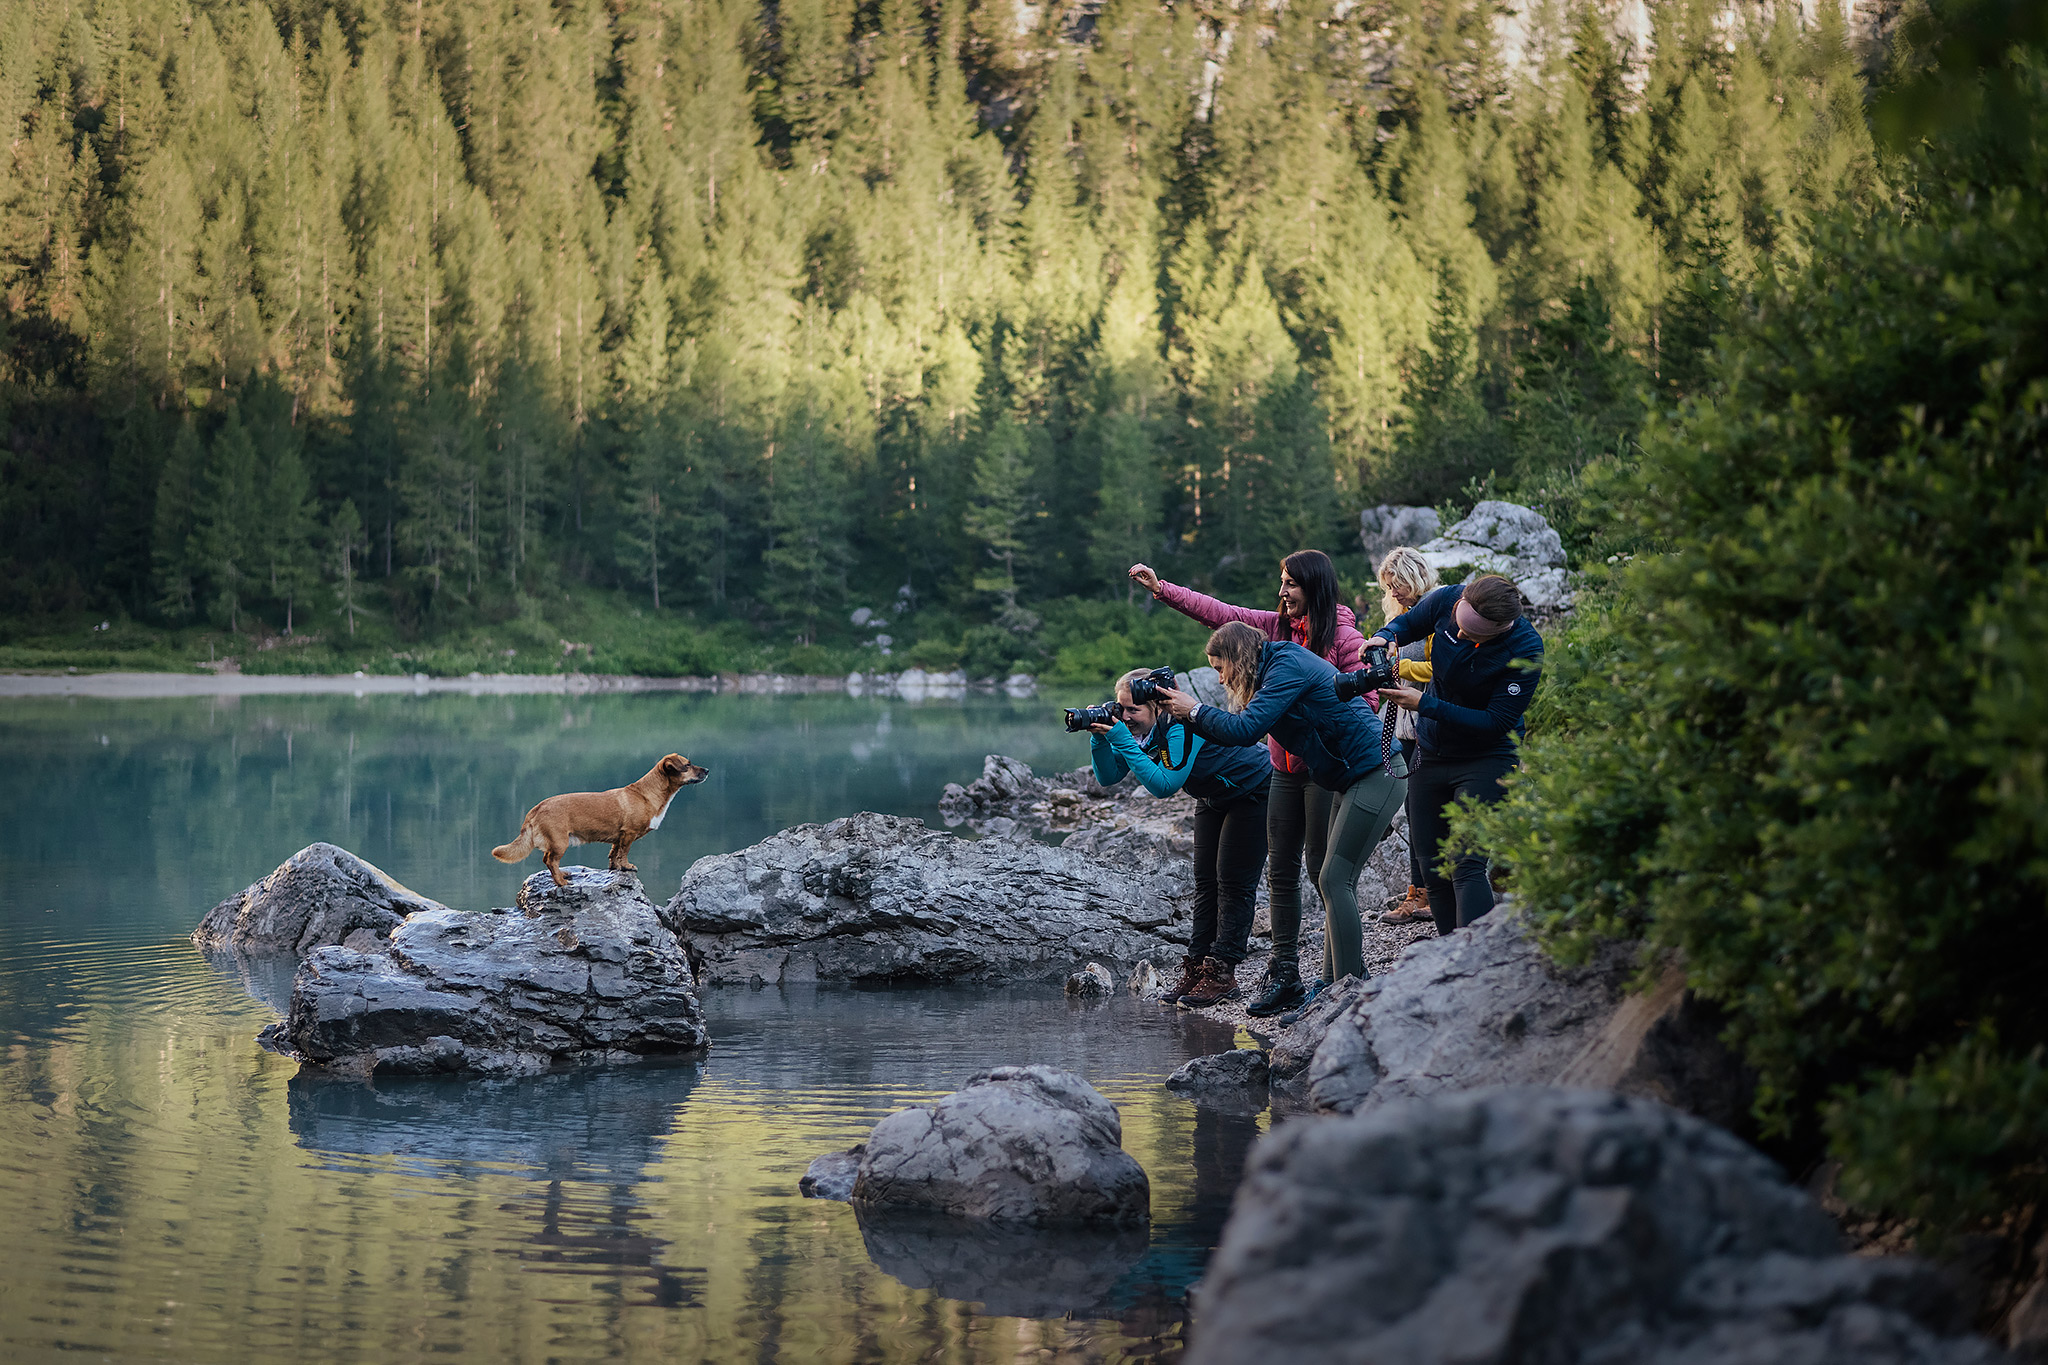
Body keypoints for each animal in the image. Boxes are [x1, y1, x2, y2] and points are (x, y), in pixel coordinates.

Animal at [489, 757, 708, 888]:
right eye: (688, 765)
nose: (707, 770)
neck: (647, 794)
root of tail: (536, 808)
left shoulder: (619, 836)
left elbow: (614, 853)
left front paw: (616, 867)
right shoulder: (628, 834)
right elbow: (624, 853)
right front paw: (626, 866)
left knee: (548, 860)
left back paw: (563, 874)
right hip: (560, 842)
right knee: (550, 860)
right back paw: (561, 882)